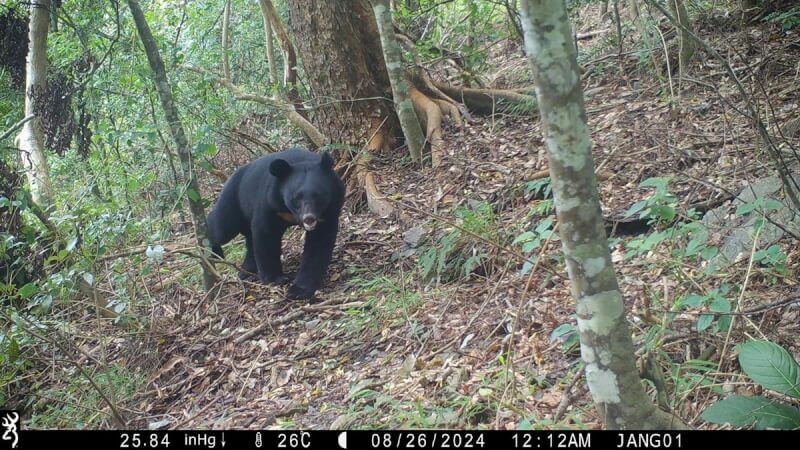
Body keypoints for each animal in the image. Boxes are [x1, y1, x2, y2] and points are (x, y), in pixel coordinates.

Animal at [206, 148, 344, 300]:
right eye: (297, 197)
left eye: (318, 195)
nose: (309, 218)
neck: (290, 212)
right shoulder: (270, 201)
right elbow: (266, 235)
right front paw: (276, 278)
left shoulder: (329, 210)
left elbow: (319, 243)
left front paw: (299, 290)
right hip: (233, 198)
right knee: (222, 226)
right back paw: (213, 251)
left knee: (249, 240)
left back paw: (246, 272)